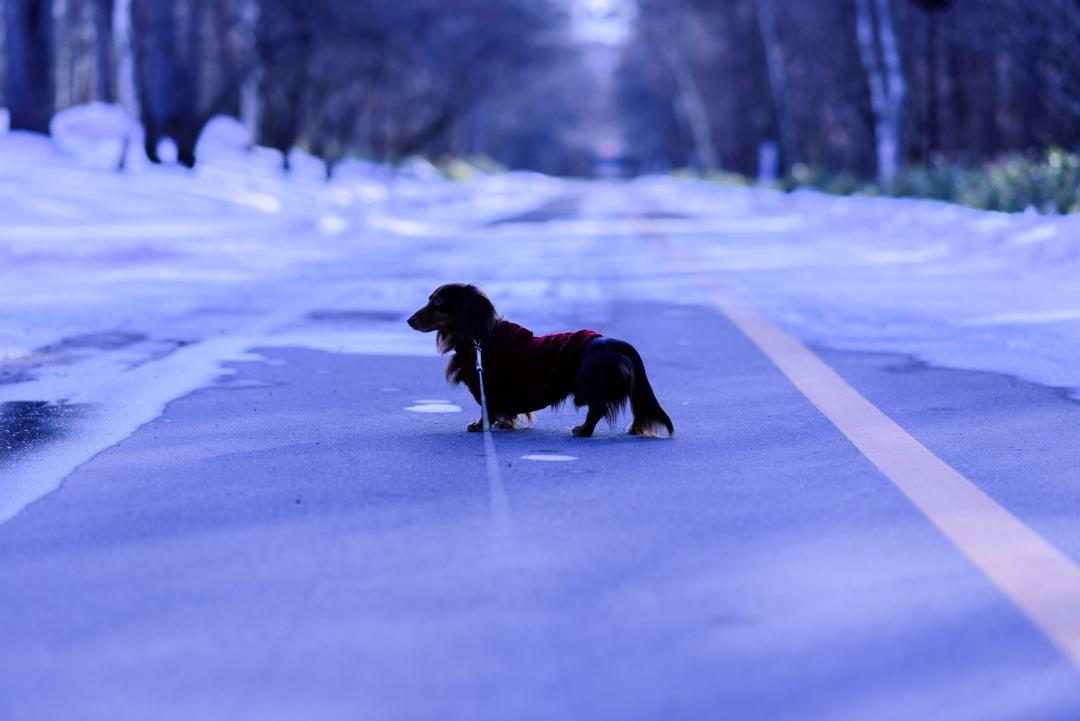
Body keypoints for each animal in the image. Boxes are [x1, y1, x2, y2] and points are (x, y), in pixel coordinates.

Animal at [406, 284, 673, 436]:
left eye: (439, 301)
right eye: (430, 298)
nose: (409, 320)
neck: (481, 340)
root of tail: (613, 342)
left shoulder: (488, 388)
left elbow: (487, 409)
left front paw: (479, 426)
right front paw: (505, 424)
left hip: (589, 383)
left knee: (597, 408)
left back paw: (582, 431)